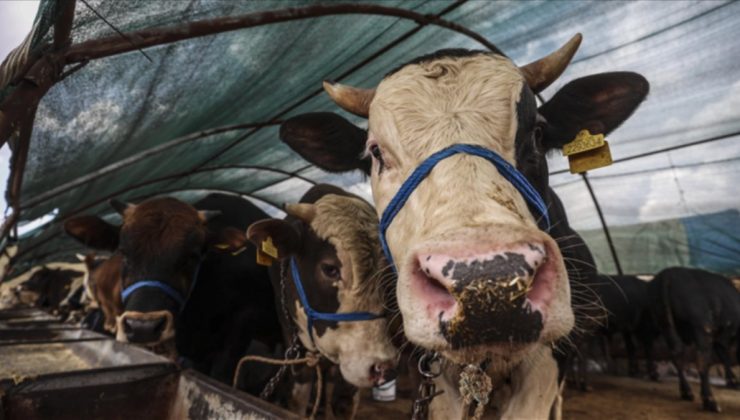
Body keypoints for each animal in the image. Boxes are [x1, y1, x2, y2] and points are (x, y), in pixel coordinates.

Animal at [648, 268, 740, 412]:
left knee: (676, 355)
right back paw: (710, 402)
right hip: (702, 329)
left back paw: (687, 392)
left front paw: (732, 381)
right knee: (701, 363)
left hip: (665, 325)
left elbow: (724, 358)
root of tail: (667, 274)